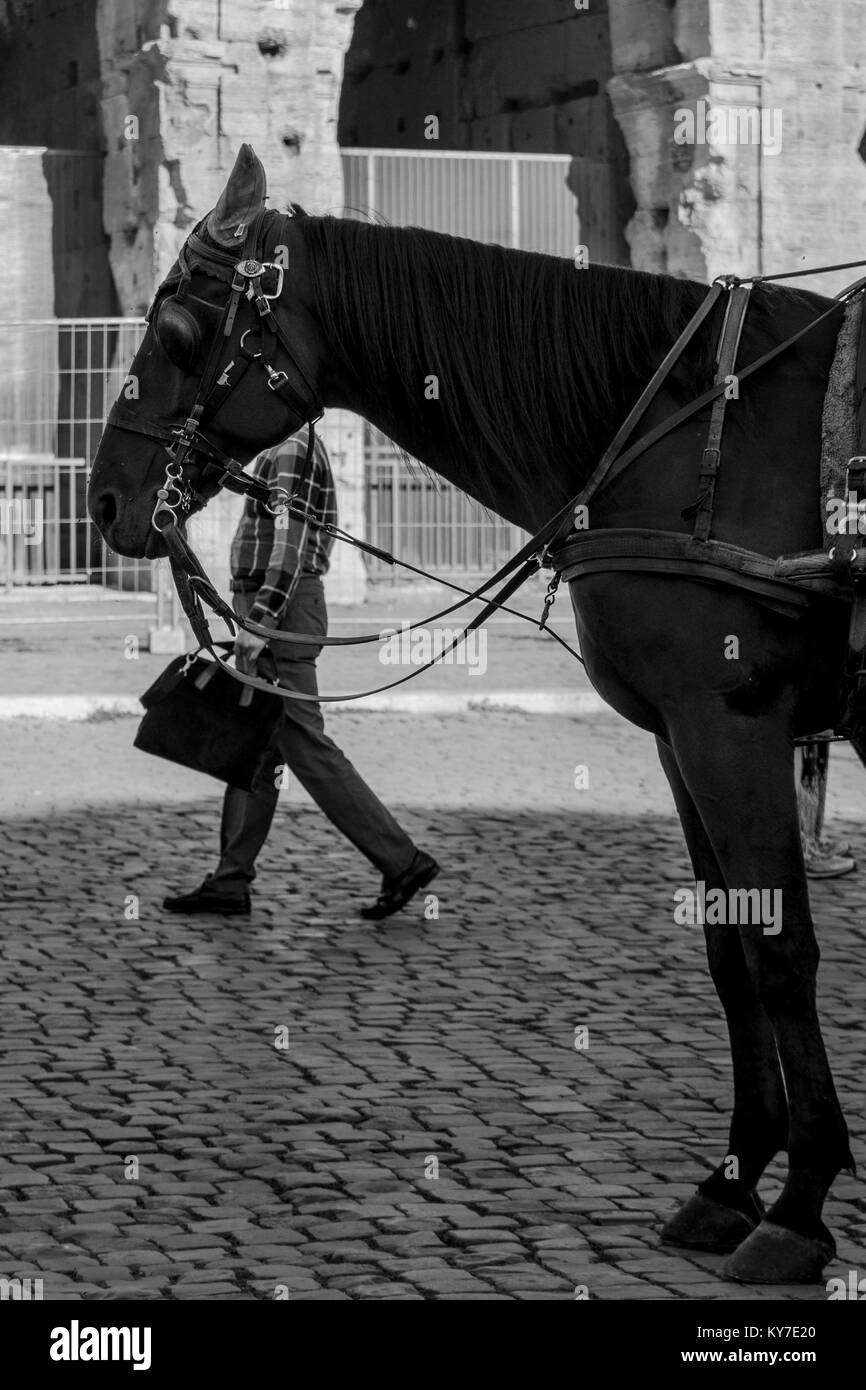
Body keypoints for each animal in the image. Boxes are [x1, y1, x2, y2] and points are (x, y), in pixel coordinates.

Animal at [89, 146, 861, 1284]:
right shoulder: (683, 735)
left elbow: (777, 947)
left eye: (181, 330)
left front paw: (799, 1205)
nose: (105, 499)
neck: (679, 429)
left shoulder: (735, 723)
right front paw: (729, 1181)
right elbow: (728, 950)